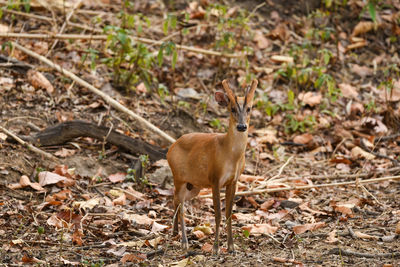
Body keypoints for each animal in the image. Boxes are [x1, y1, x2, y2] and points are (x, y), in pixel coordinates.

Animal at [166, 78, 258, 255]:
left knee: (175, 200)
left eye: (249, 108)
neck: (230, 155)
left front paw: (231, 247)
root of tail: (170, 148)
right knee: (181, 205)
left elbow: (229, 213)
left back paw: (174, 232)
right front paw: (216, 248)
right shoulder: (215, 178)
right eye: (232, 109)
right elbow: (218, 215)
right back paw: (184, 242)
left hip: (194, 185)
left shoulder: (233, 181)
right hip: (178, 177)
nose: (242, 126)